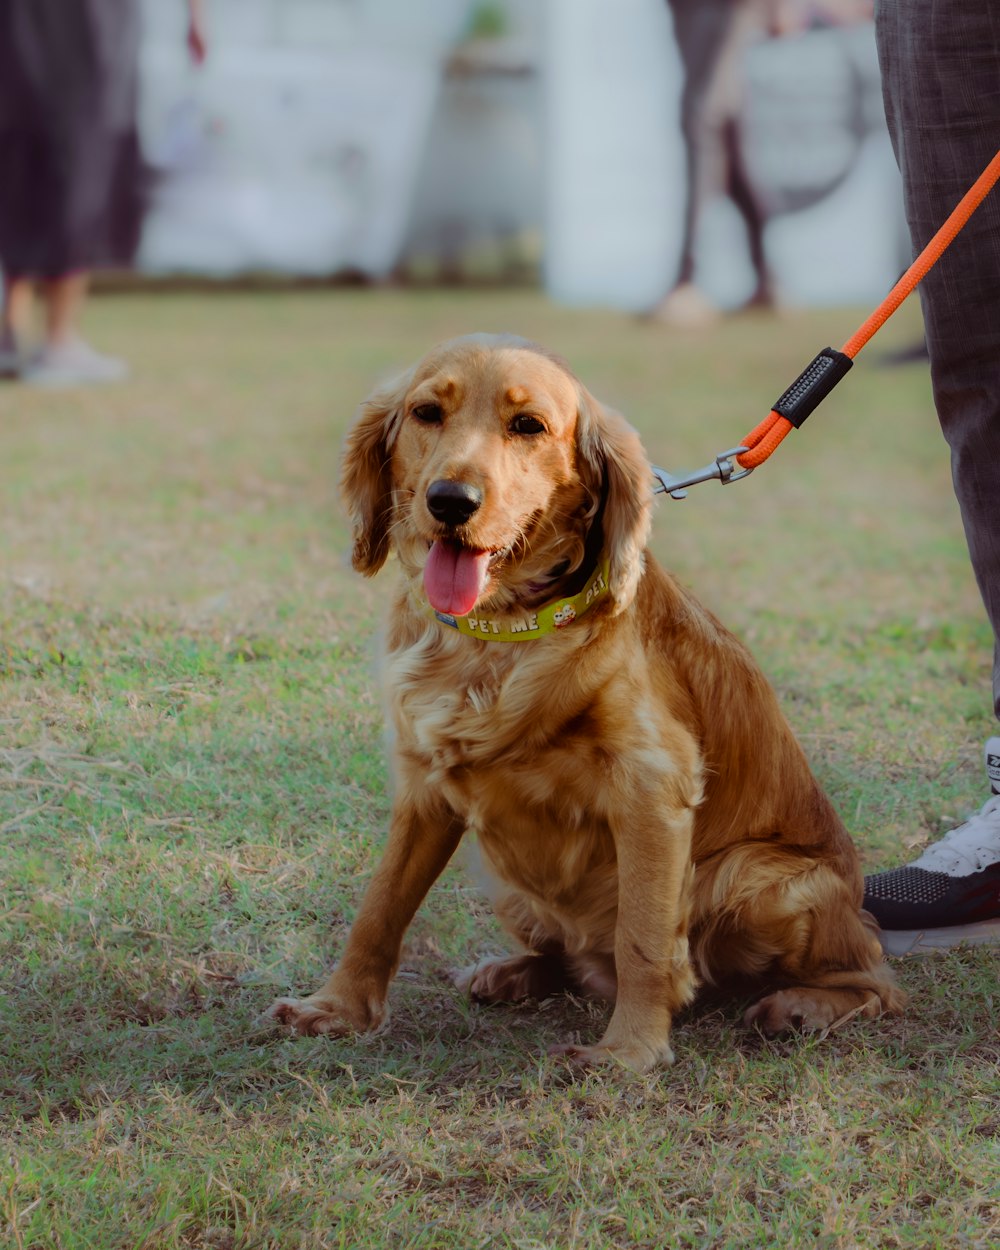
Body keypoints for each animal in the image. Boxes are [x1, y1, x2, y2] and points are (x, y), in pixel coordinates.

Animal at [267, 335, 905, 1075]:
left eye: (528, 426)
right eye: (428, 412)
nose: (451, 500)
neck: (499, 635)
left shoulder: (653, 789)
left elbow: (644, 940)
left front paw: (629, 1052)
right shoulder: (423, 786)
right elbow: (380, 907)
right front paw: (338, 1008)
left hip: (751, 877)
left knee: (878, 980)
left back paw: (803, 1005)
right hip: (507, 878)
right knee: (564, 956)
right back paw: (515, 972)